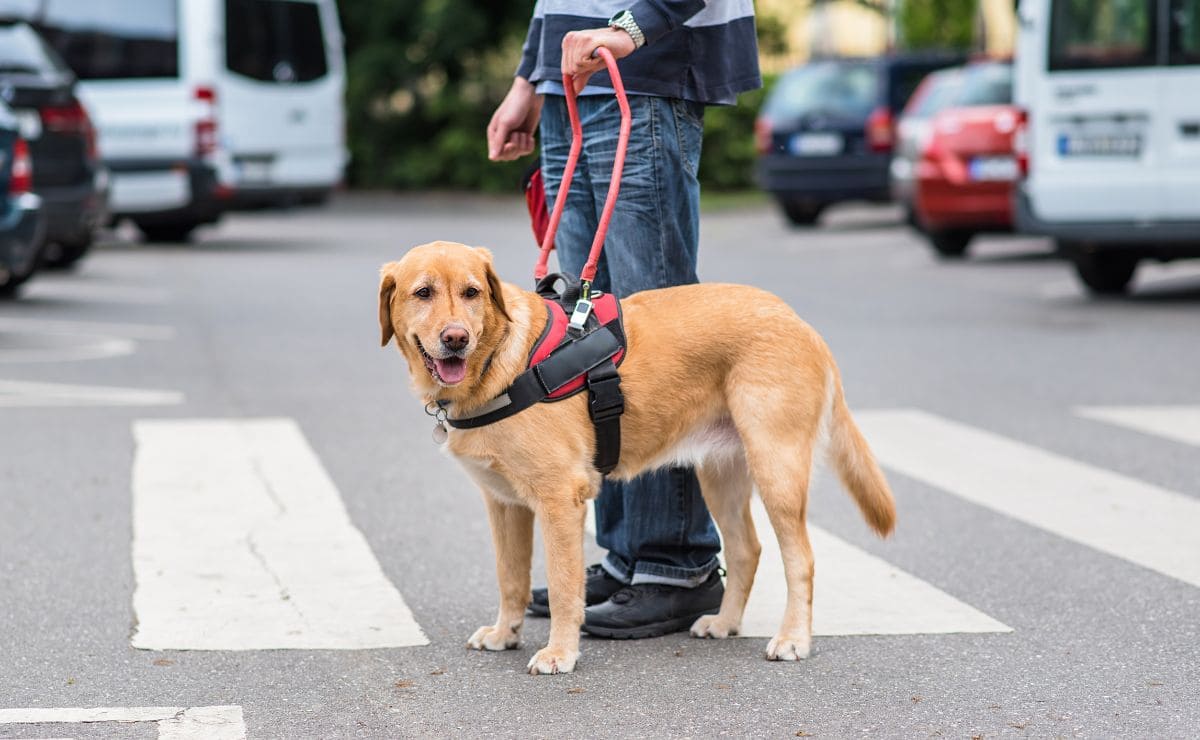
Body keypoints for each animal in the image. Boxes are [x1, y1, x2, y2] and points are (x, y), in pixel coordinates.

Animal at [379, 239, 897, 671]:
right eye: (423, 292)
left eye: (471, 293)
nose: (456, 338)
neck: (497, 365)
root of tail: (798, 321)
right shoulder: (505, 505)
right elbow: (511, 578)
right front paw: (506, 634)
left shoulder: (559, 500)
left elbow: (565, 588)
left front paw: (560, 652)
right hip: (721, 475)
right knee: (746, 550)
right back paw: (725, 622)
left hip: (777, 470)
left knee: (801, 561)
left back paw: (793, 639)